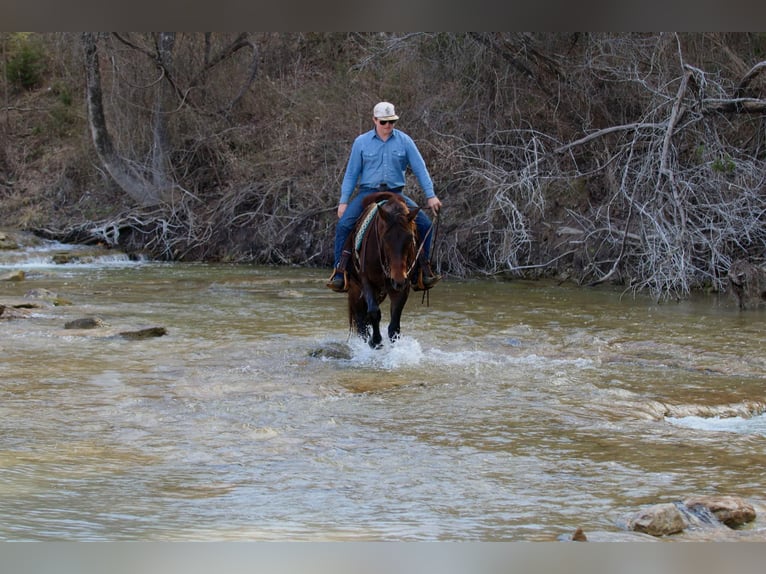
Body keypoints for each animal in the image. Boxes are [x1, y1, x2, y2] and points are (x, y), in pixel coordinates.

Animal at [346, 194, 420, 348]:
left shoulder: (402, 286)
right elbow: (374, 312)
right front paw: (375, 341)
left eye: (410, 238)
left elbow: (394, 324)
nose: (398, 279)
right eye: (385, 238)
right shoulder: (366, 281)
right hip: (355, 289)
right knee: (360, 320)